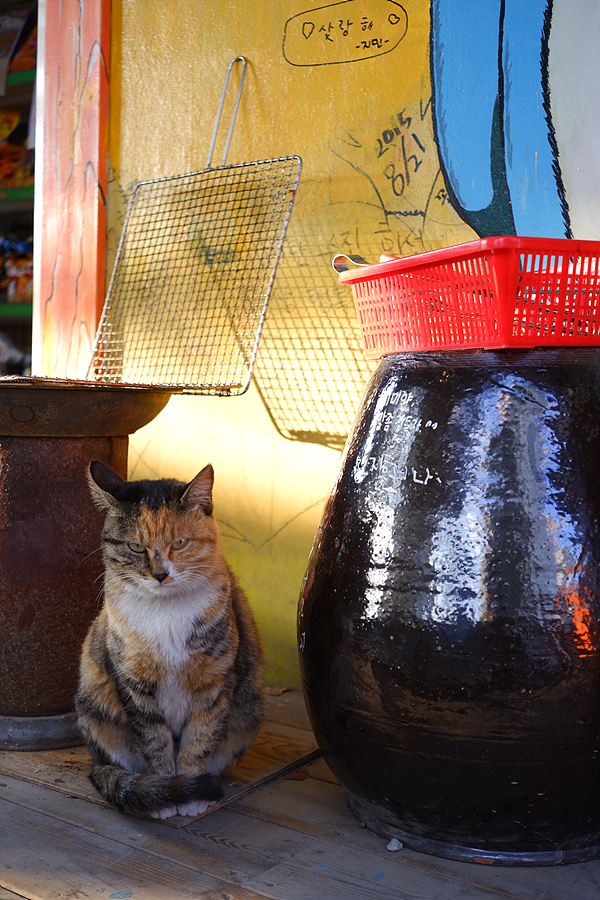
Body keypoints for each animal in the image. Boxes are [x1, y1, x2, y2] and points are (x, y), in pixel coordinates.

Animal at [75, 460, 265, 819]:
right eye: (136, 546)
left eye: (180, 543)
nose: (160, 575)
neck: (166, 614)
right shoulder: (134, 683)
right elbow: (153, 738)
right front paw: (165, 791)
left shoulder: (215, 682)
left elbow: (200, 737)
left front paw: (191, 792)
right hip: (95, 708)